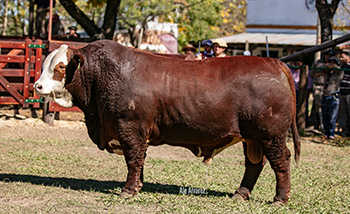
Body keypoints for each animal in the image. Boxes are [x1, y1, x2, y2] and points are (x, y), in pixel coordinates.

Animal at [34, 39, 300, 205]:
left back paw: (279, 199)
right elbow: (139, 160)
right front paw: (138, 185)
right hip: (252, 137)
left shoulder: (129, 127)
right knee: (254, 164)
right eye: (46, 64)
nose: (37, 86)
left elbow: (133, 158)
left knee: (280, 161)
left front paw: (128, 190)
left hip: (271, 135)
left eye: (60, 66)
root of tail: (274, 62)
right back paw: (241, 194)